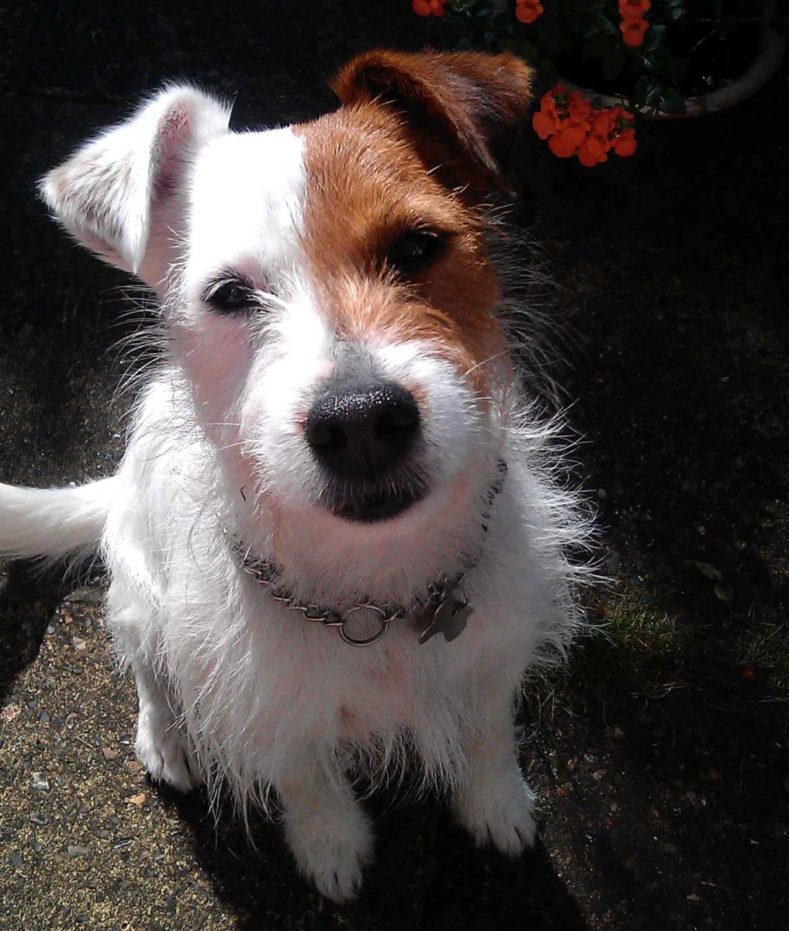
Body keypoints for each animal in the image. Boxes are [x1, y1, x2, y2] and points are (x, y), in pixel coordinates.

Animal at [0, 51, 588, 904]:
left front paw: (496, 801)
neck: (375, 599)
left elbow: (487, 730)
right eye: (227, 294)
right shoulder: (268, 703)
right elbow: (305, 773)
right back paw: (167, 739)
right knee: (151, 668)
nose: (361, 420)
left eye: (417, 245)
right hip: (144, 597)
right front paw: (330, 846)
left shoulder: (492, 649)